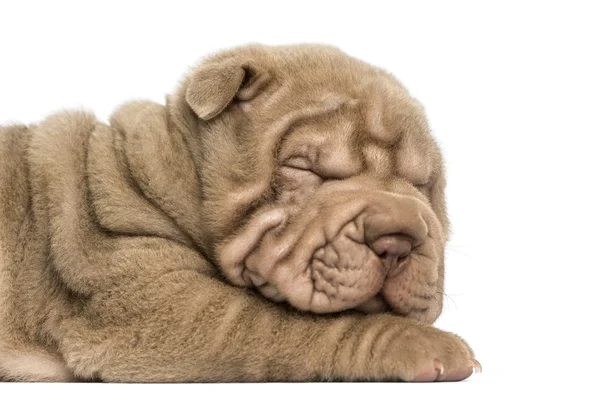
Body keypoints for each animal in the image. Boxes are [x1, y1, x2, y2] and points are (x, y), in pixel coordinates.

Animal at [0, 43, 478, 382]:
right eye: (304, 167)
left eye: (422, 183)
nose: (398, 238)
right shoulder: (164, 305)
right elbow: (292, 326)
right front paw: (428, 345)